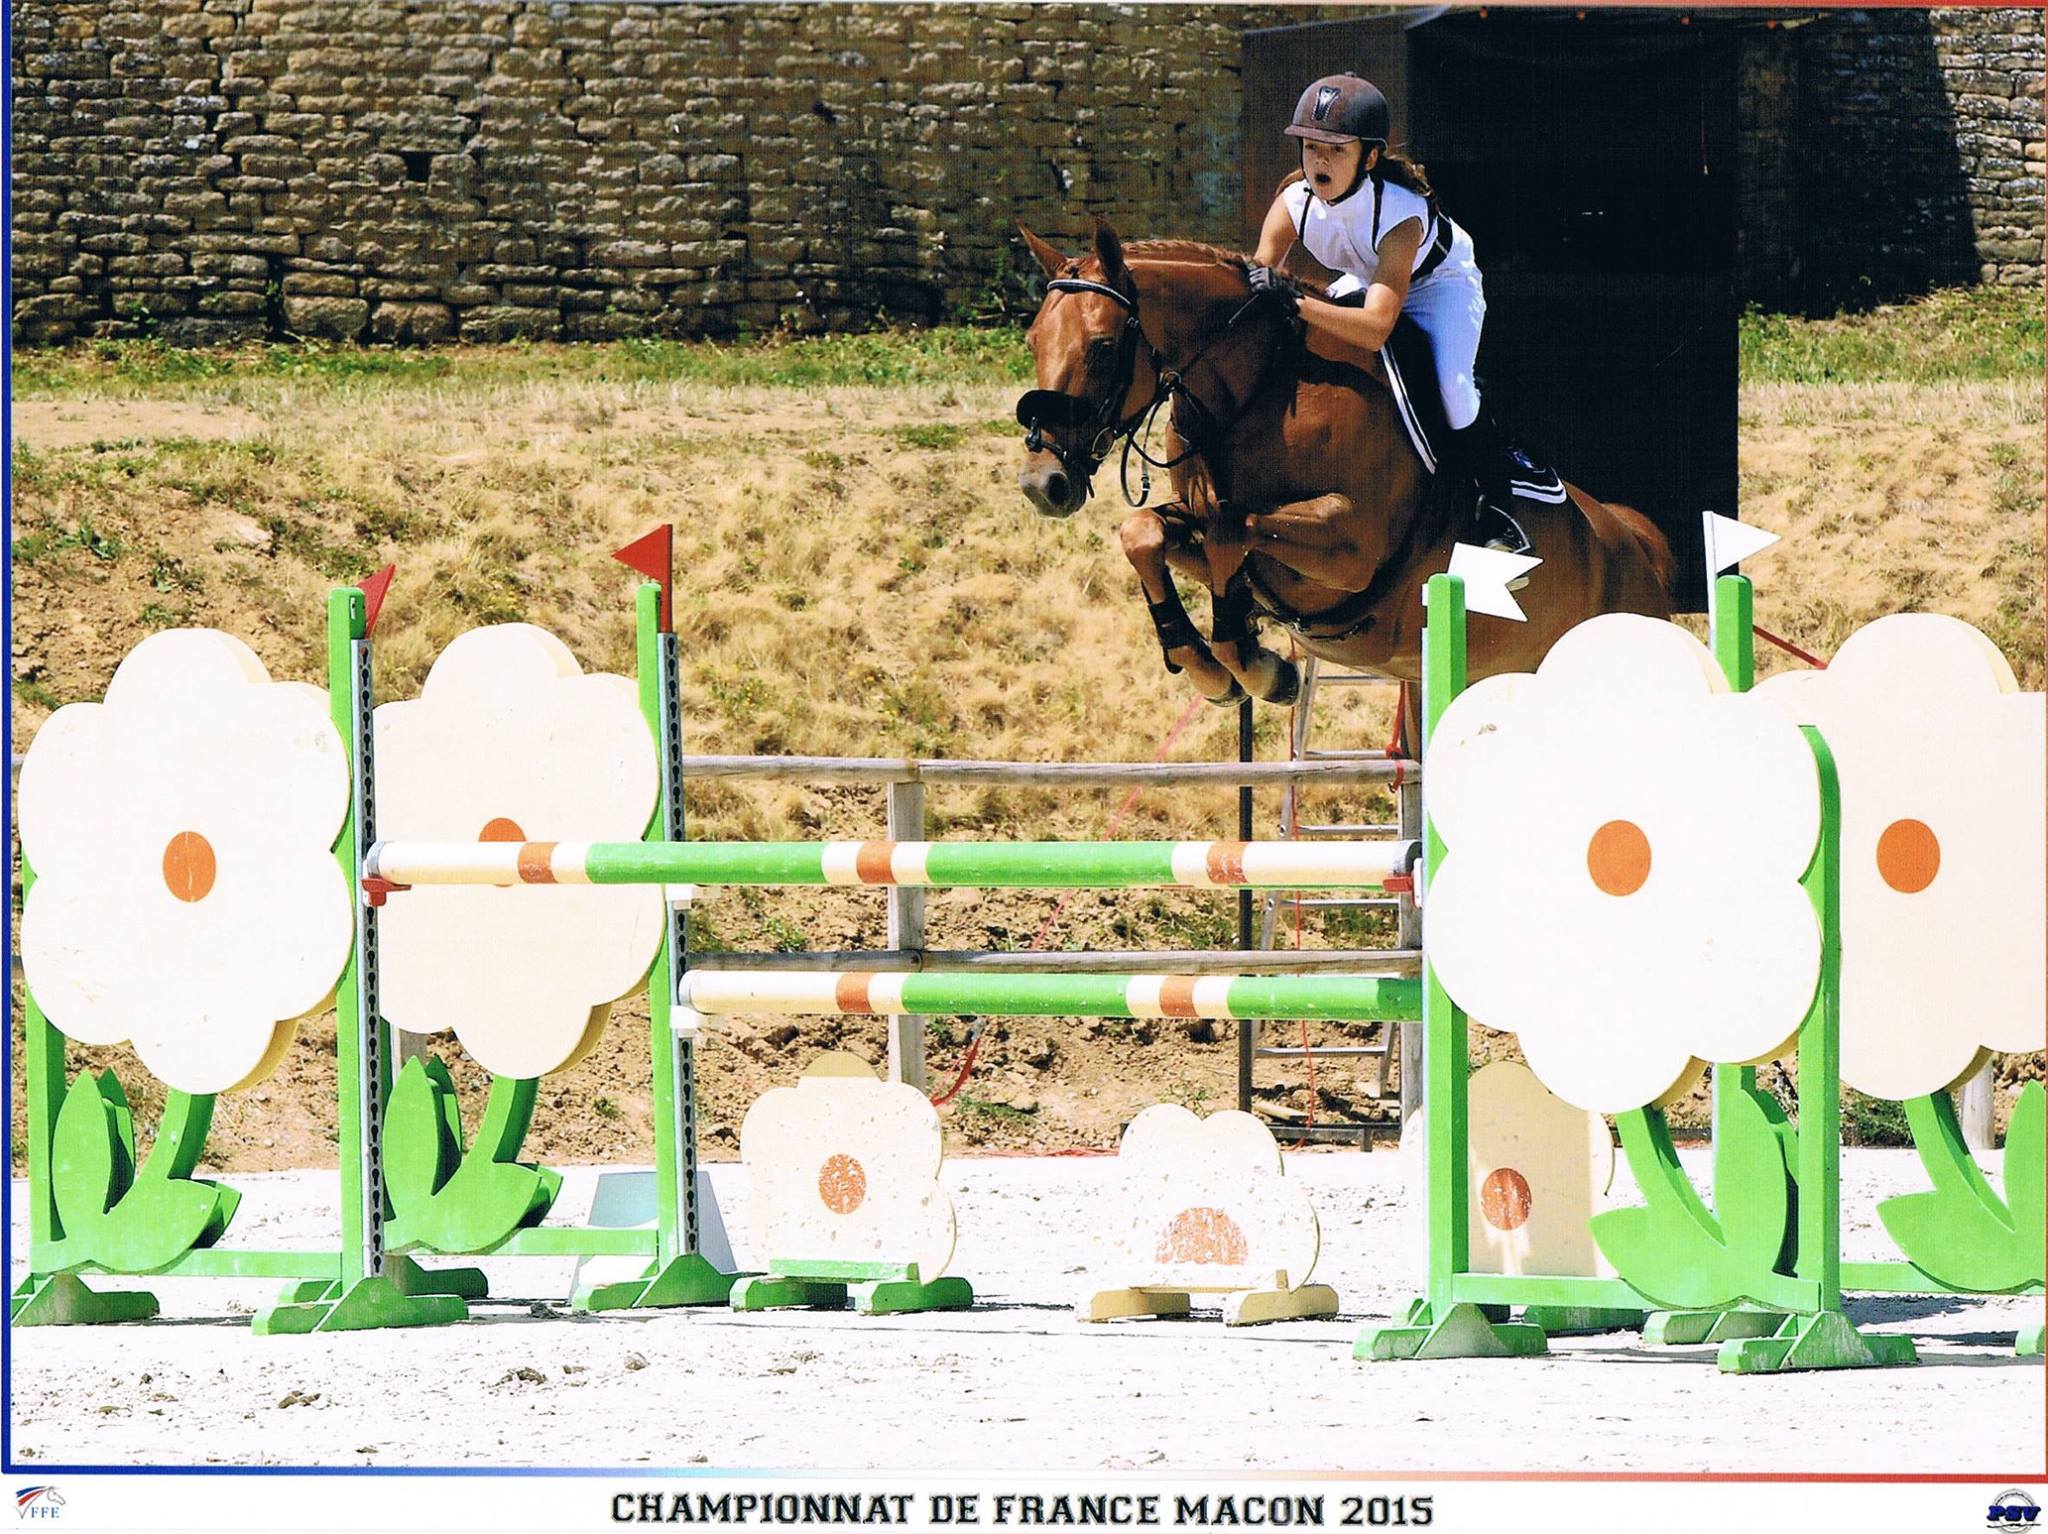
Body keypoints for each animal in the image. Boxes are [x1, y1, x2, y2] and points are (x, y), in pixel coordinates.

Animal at [1015, 218, 1671, 708]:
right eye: (1032, 341)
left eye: (1103, 348)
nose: (1042, 485)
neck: (1258, 390)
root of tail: (1636, 542)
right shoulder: (1208, 531)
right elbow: (1145, 532)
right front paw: (1224, 669)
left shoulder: (1350, 544)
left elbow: (1231, 528)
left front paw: (1252, 664)